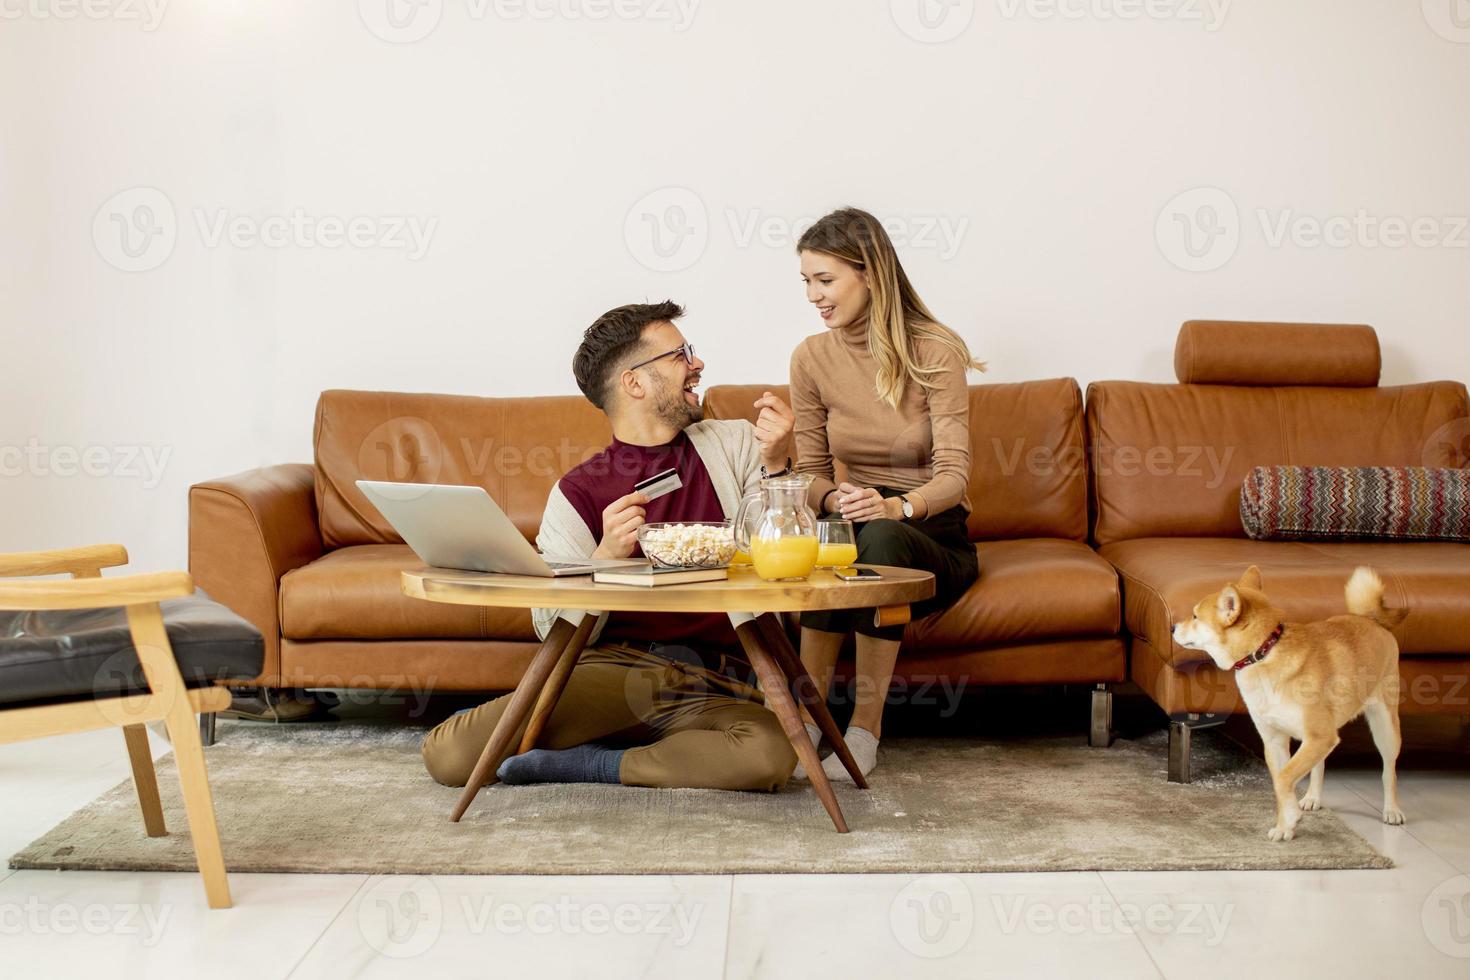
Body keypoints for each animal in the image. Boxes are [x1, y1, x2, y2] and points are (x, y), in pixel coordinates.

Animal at [1170, 567, 1411, 846]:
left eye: (1195, 616)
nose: (1172, 627)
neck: (1263, 653)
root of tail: (1370, 619)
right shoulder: (1278, 740)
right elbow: (1280, 781)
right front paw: (1286, 824)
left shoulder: (1318, 736)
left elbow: (1284, 778)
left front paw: (1291, 817)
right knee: (1320, 764)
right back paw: (1313, 797)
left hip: (1385, 727)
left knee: (1388, 771)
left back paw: (1392, 810)